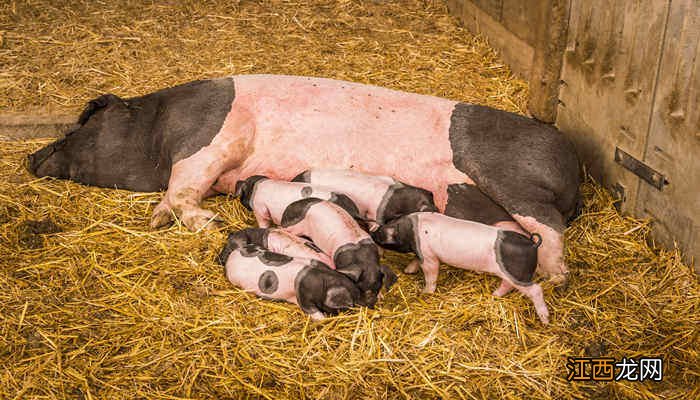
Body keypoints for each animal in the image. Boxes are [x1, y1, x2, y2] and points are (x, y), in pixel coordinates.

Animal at [27, 73, 580, 282]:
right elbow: (174, 194)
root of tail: (573, 163)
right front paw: (159, 220)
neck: (157, 127)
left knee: (548, 225)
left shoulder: (211, 142)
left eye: (80, 125)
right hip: (467, 198)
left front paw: (204, 223)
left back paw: (554, 275)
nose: (31, 157)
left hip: (513, 181)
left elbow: (184, 186)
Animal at [370, 212, 548, 324]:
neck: (410, 231)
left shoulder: (429, 256)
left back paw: (545, 320)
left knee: (536, 289)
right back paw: (494, 295)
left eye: (381, 234)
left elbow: (430, 273)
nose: (372, 233)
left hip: (518, 273)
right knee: (507, 285)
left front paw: (426, 292)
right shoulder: (422, 252)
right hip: (509, 274)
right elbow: (415, 259)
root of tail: (533, 244)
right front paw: (408, 270)